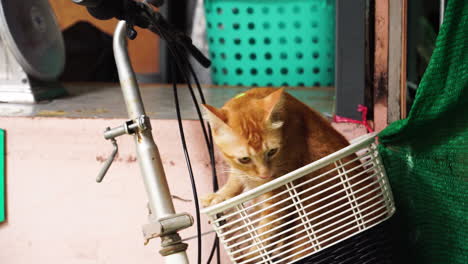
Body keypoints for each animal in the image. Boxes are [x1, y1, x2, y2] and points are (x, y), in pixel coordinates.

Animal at [201, 88, 384, 262]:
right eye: (245, 159)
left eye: (272, 151)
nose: (265, 175)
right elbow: (236, 178)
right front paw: (220, 195)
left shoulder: (278, 197)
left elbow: (265, 235)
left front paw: (251, 258)